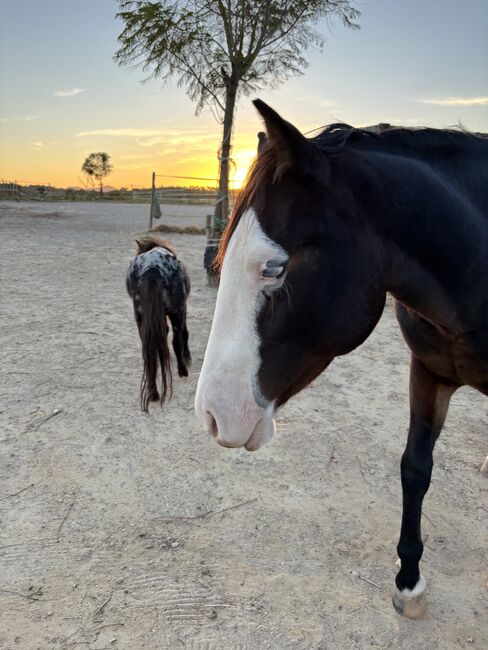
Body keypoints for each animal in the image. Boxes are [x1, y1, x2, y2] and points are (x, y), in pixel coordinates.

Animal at [126, 236, 191, 411]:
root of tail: (152, 268)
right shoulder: (183, 308)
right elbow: (184, 334)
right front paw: (187, 356)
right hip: (177, 310)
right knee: (176, 340)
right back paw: (182, 370)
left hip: (141, 316)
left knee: (149, 350)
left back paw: (154, 392)